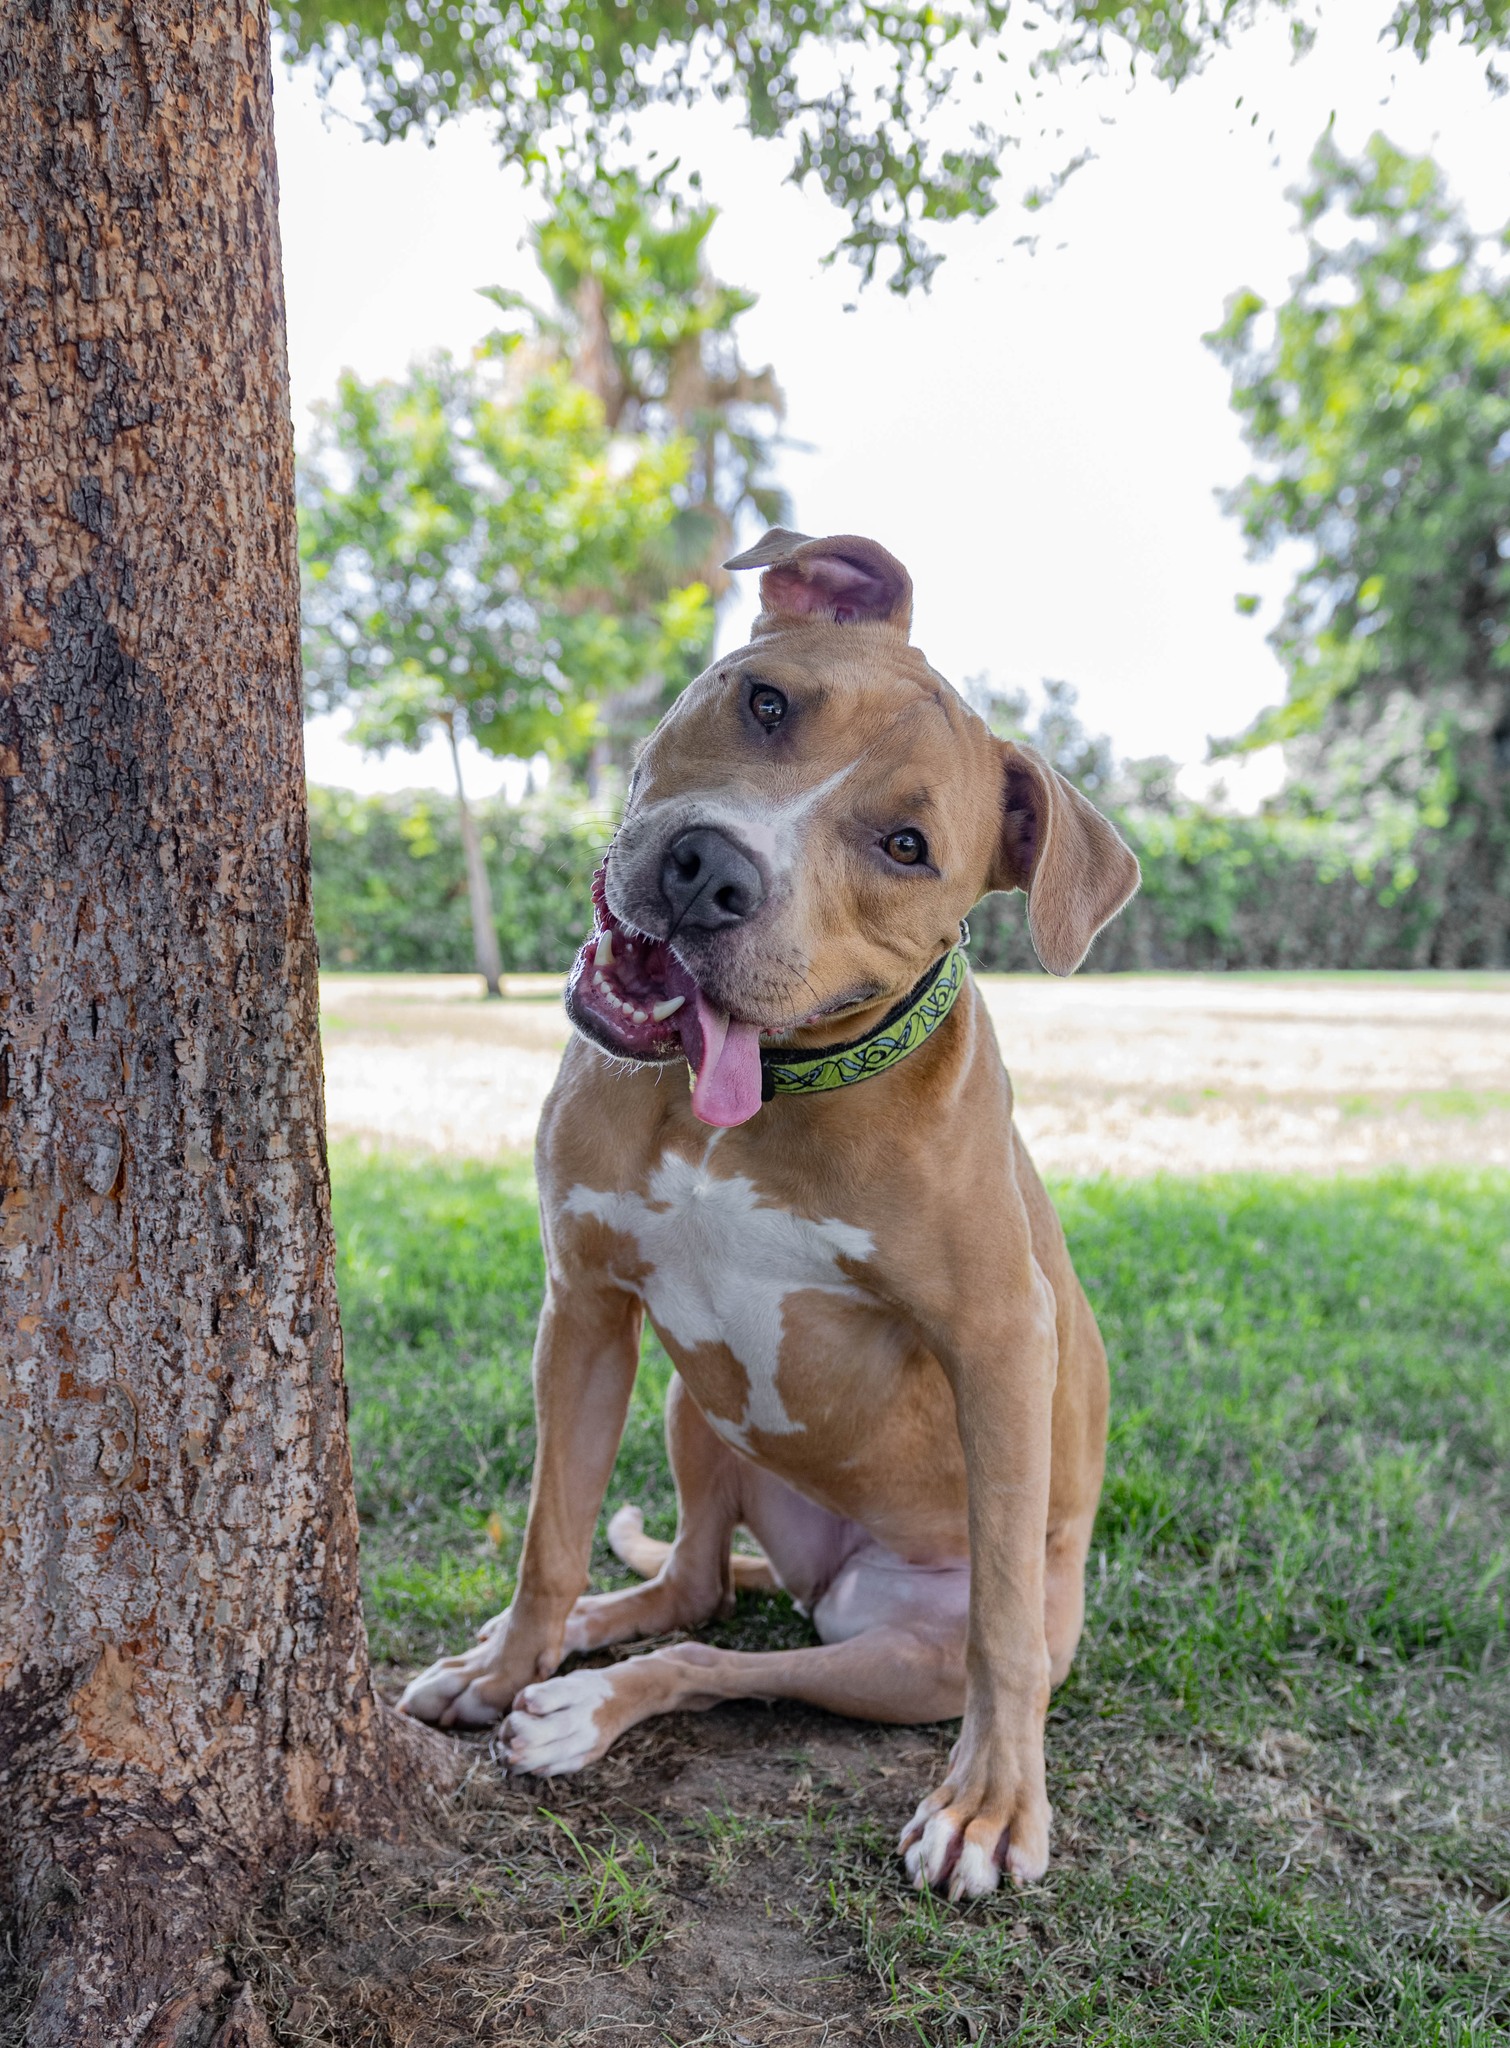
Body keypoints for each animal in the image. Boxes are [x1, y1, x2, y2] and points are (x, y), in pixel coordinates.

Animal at [395, 532, 1139, 1900]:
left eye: (906, 844)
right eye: (767, 702)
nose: (710, 868)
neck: (751, 1095)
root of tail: (819, 1577)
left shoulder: (1002, 1342)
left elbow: (1002, 1622)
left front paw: (993, 1802)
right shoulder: (584, 1305)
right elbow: (548, 1531)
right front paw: (506, 1660)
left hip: (890, 1653)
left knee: (737, 1657)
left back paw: (586, 1707)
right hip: (702, 1404)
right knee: (693, 1585)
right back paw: (580, 1642)